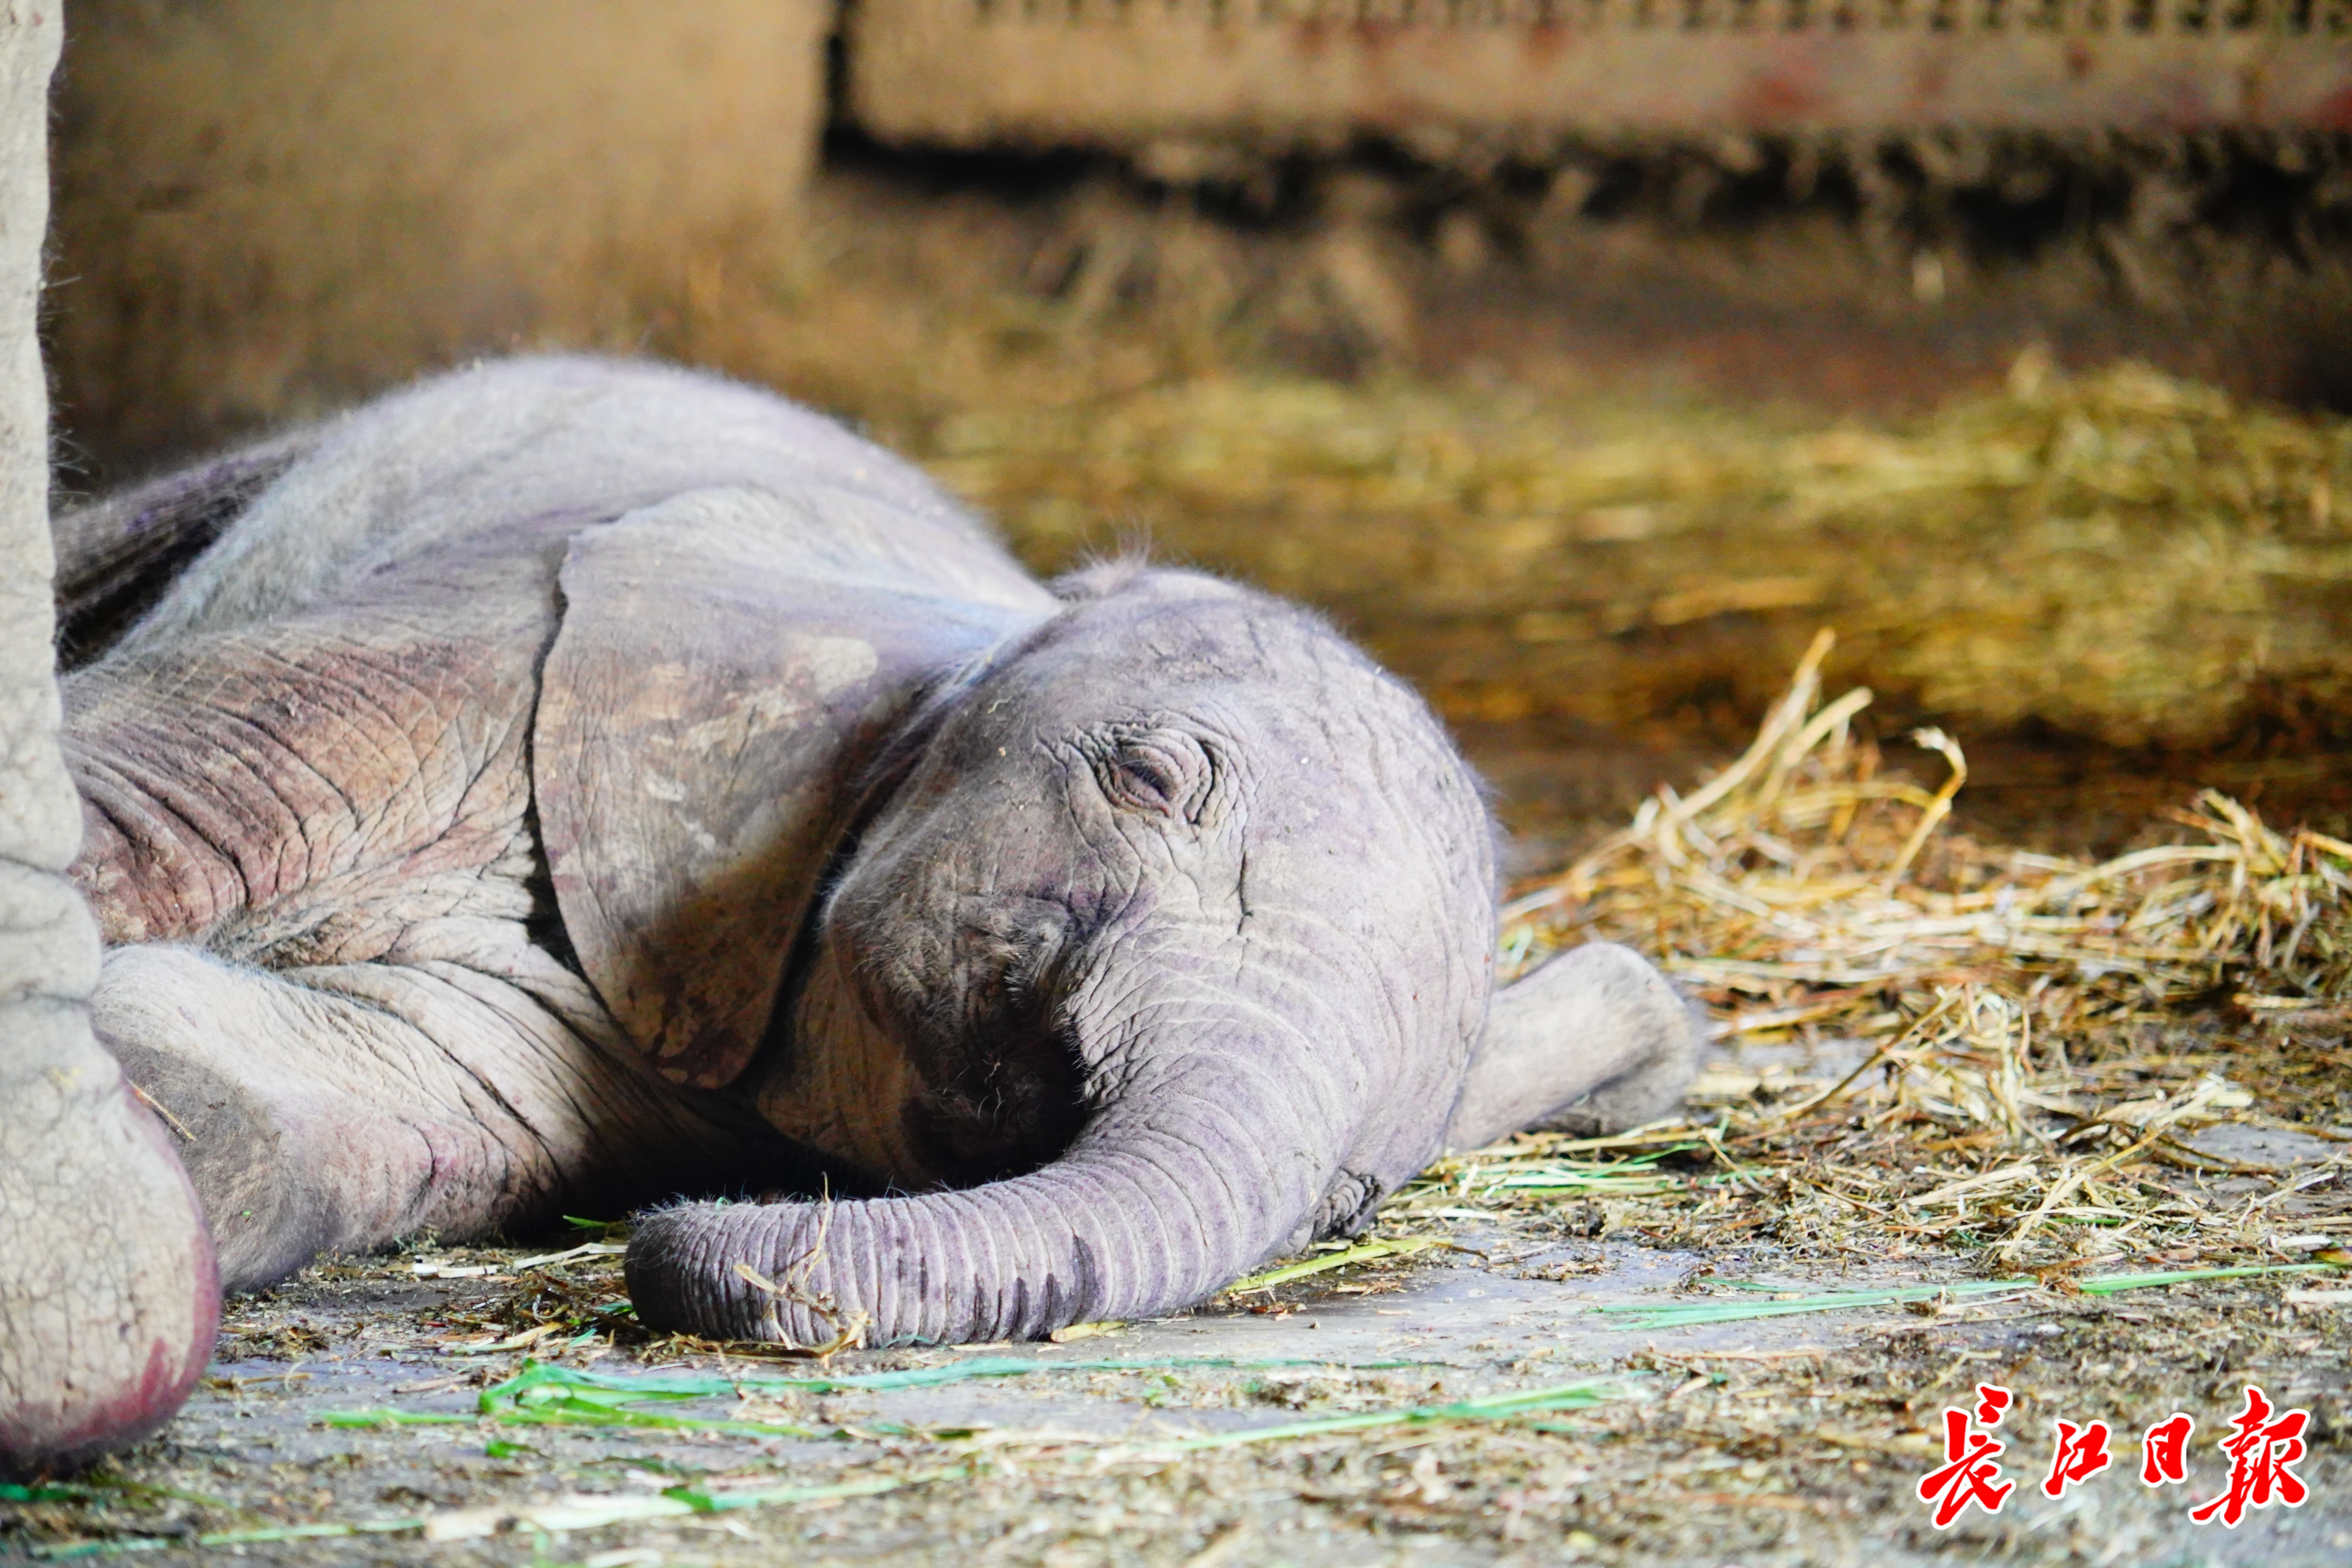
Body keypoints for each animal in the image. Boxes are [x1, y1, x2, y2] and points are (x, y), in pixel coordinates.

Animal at [41, 359, 1693, 1420]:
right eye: (1151, 779)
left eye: (1357, 1191)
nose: (663, 1241)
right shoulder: (484, 638)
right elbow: (132, 810)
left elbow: (310, 1114)